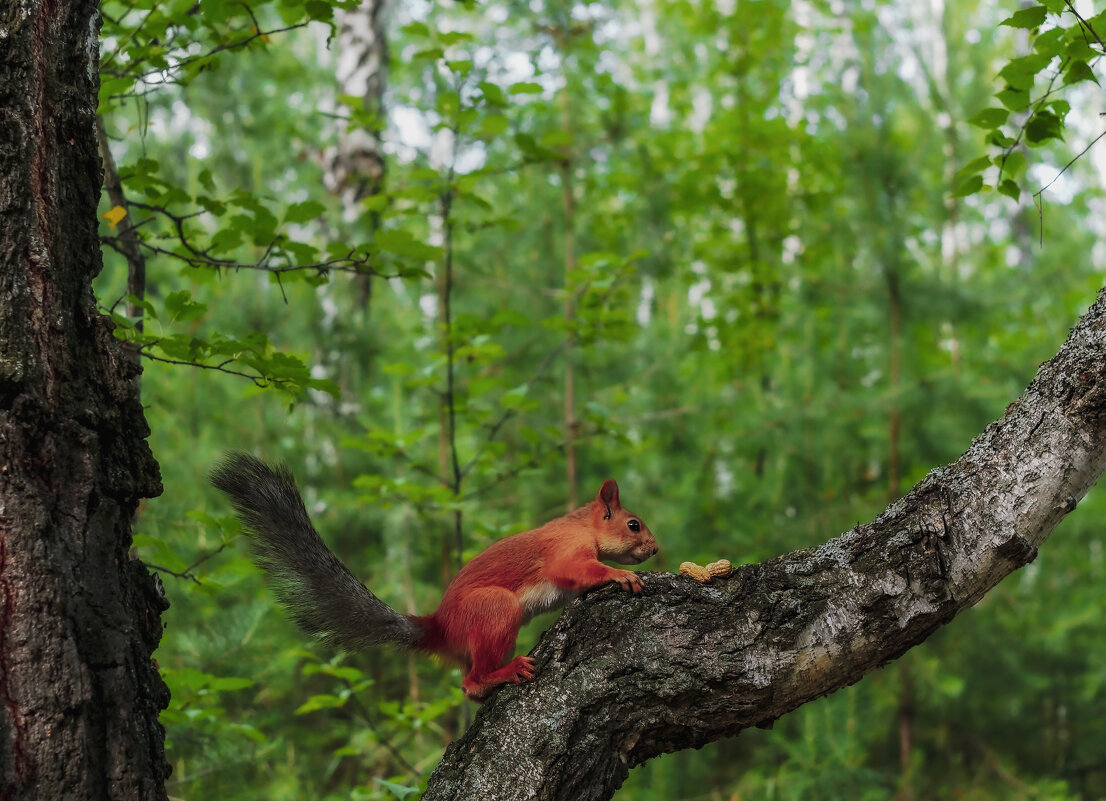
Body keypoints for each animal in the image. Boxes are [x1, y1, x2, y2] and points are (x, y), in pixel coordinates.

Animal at [211, 453, 654, 699]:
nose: (654, 548)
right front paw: (619, 575)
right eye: (633, 525)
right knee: (471, 680)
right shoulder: (564, 549)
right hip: (495, 609)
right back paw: (501, 674)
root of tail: (439, 625)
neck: (582, 525)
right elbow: (575, 570)